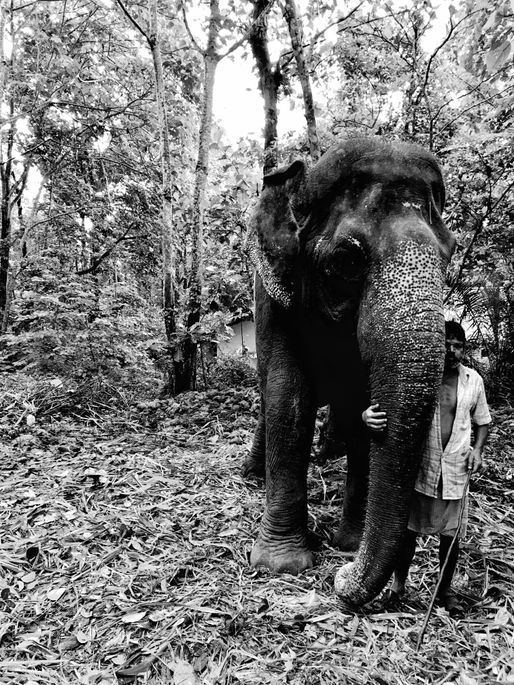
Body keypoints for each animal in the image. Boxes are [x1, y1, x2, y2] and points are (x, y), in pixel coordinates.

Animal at [242, 136, 454, 608]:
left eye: (447, 256)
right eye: (346, 260)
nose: (341, 579)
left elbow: (360, 407)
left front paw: (348, 544)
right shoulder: (276, 300)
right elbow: (288, 400)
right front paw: (282, 564)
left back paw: (324, 455)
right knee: (267, 397)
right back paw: (252, 476)